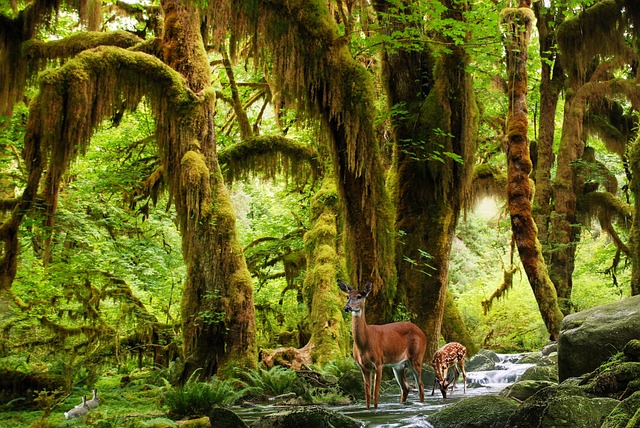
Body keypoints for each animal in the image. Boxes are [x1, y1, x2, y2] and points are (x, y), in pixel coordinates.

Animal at [338, 280, 428, 410]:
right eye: (347, 296)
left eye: (359, 296)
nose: (347, 308)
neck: (365, 343)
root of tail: (422, 333)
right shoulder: (363, 367)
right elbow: (367, 396)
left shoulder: (378, 362)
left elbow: (375, 395)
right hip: (398, 365)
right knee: (406, 387)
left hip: (417, 357)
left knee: (420, 385)